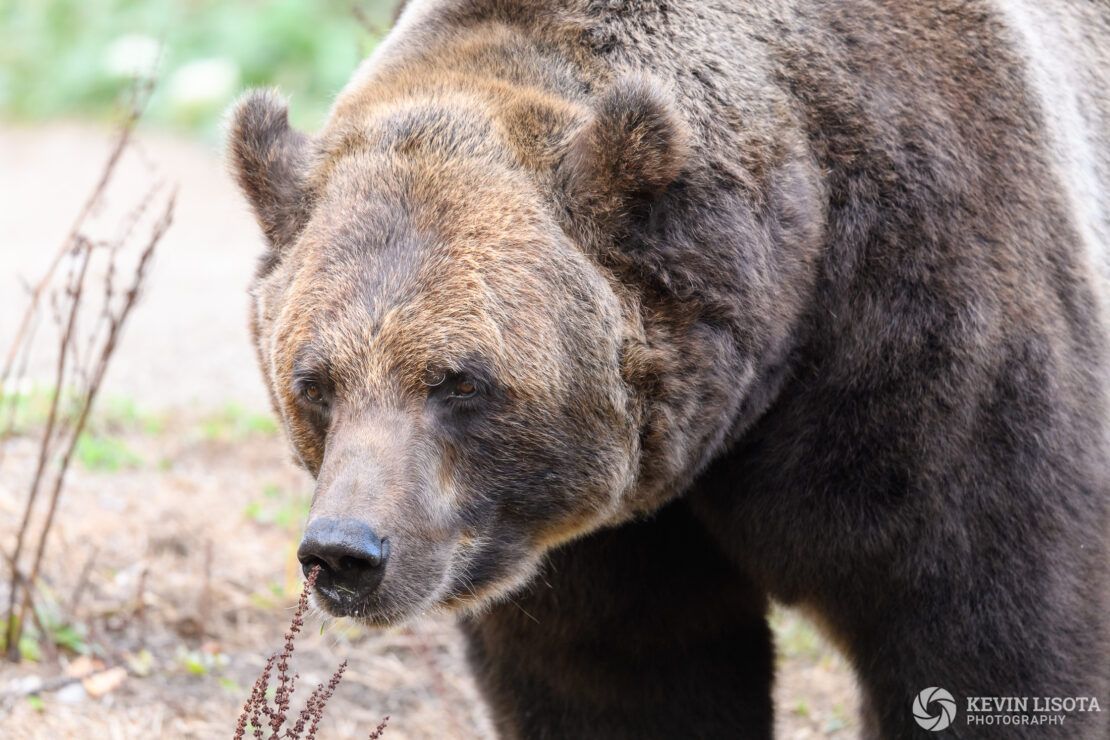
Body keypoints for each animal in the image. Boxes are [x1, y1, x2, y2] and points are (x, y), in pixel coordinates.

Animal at [227, 2, 1110, 736]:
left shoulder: (930, 343)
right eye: (315, 384)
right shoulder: (593, 540)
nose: (345, 553)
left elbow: (994, 635)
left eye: (460, 381)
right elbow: (625, 678)